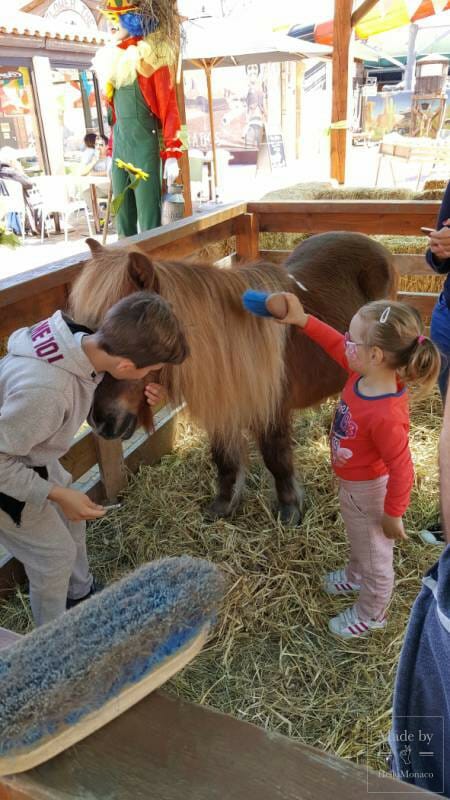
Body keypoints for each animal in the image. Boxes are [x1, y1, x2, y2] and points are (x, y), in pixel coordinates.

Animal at [69, 231, 394, 524]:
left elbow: (277, 460)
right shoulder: (220, 408)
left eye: (127, 348)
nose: (99, 420)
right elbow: (223, 459)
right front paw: (224, 505)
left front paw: (289, 510)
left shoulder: (272, 411)